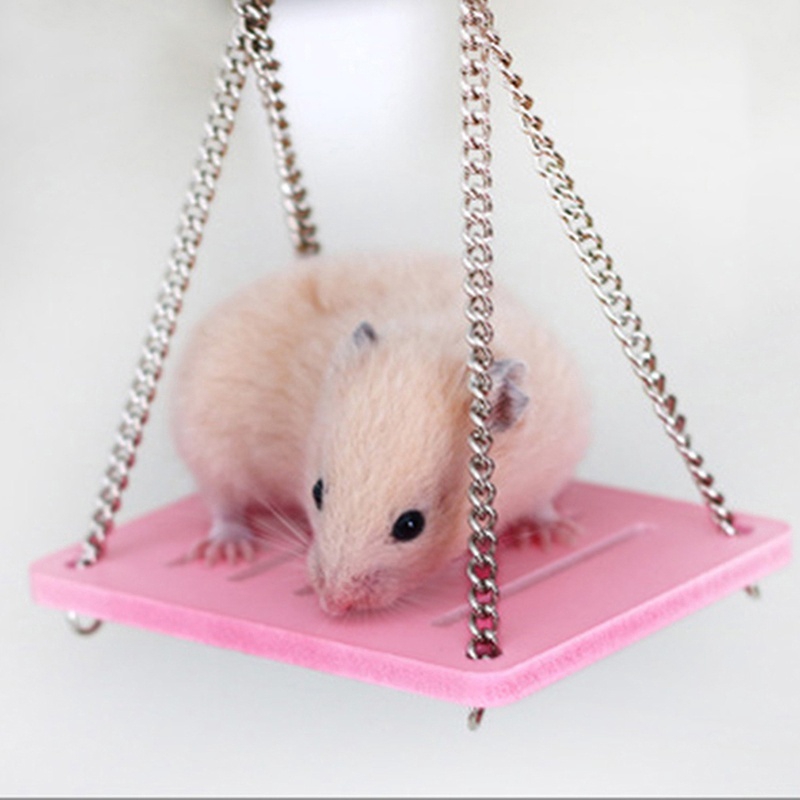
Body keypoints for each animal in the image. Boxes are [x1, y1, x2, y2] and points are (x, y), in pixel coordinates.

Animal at [171, 252, 590, 615]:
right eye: (317, 492)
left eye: (410, 525)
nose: (332, 605)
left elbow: (543, 503)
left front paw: (557, 536)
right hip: (207, 439)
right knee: (223, 504)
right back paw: (225, 551)